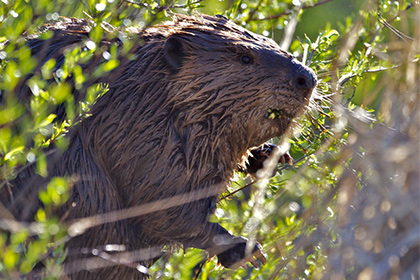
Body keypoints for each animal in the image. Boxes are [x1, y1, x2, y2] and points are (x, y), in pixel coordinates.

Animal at [3, 14, 316, 278]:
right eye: (245, 57)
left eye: (274, 44)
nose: (307, 78)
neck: (145, 85)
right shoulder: (136, 131)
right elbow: (159, 206)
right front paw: (244, 249)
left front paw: (272, 156)